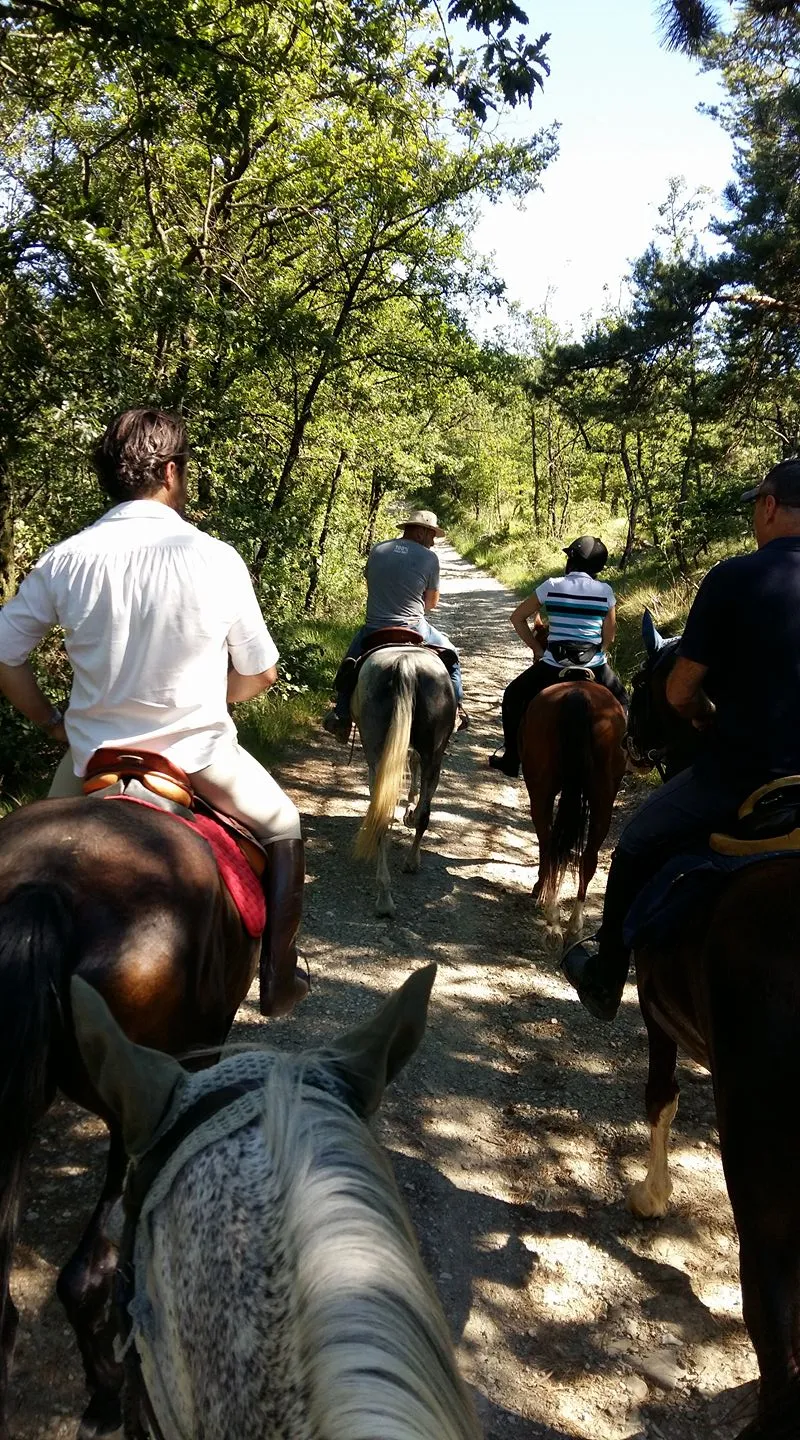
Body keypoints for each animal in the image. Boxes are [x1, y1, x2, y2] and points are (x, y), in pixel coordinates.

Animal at [352, 646, 456, 919]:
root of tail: (406, 663)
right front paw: (410, 808)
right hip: (433, 755)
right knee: (422, 813)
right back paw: (408, 865)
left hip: (378, 755)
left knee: (384, 814)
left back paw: (385, 897)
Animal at [518, 679, 627, 945]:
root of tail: (578, 692)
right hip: (602, 796)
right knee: (587, 857)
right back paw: (572, 925)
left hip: (541, 791)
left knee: (549, 846)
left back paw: (553, 914)